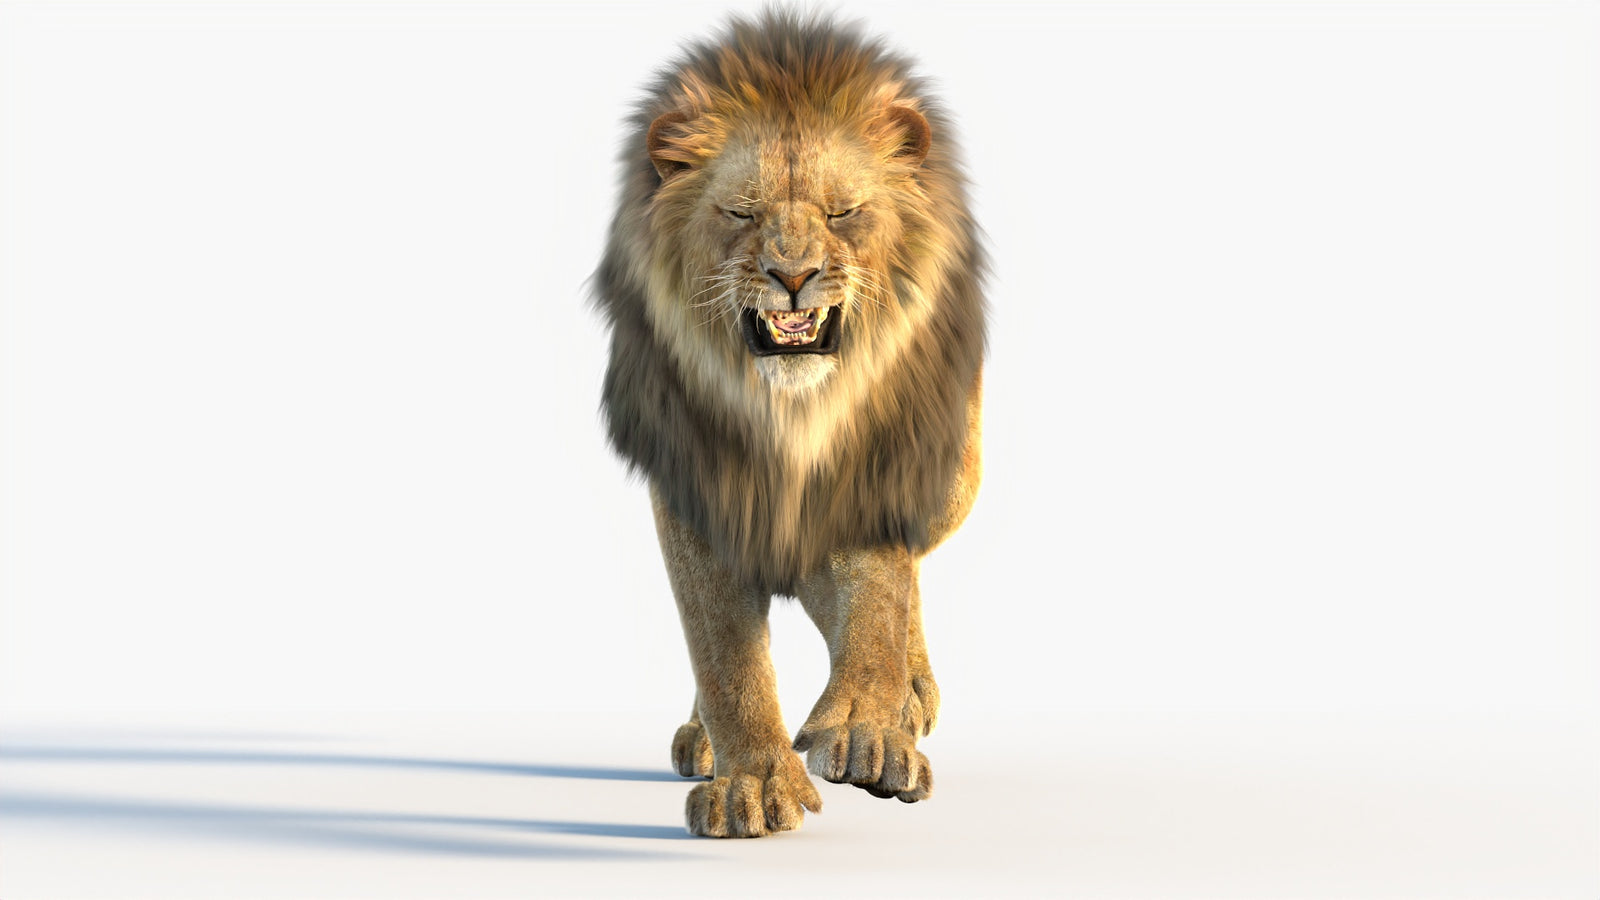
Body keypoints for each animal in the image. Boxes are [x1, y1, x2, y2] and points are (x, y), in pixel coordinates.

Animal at [593, 11, 985, 838]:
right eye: (741, 212)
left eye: (842, 212)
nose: (793, 274)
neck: (787, 416)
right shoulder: (696, 494)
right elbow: (725, 655)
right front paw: (754, 785)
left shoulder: (878, 472)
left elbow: (877, 604)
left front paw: (869, 731)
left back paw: (911, 695)